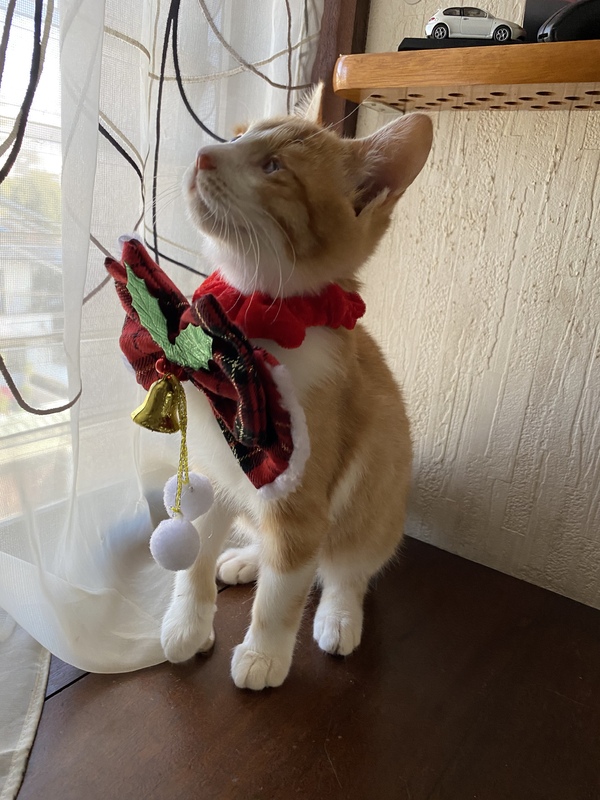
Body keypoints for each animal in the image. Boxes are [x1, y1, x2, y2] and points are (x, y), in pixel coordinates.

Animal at [160, 84, 433, 690]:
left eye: (274, 167)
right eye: (236, 135)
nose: (204, 154)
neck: (249, 322)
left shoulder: (301, 501)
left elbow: (282, 593)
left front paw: (263, 654)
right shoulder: (213, 477)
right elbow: (194, 558)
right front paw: (187, 622)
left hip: (374, 504)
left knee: (344, 568)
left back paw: (339, 614)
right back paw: (245, 560)